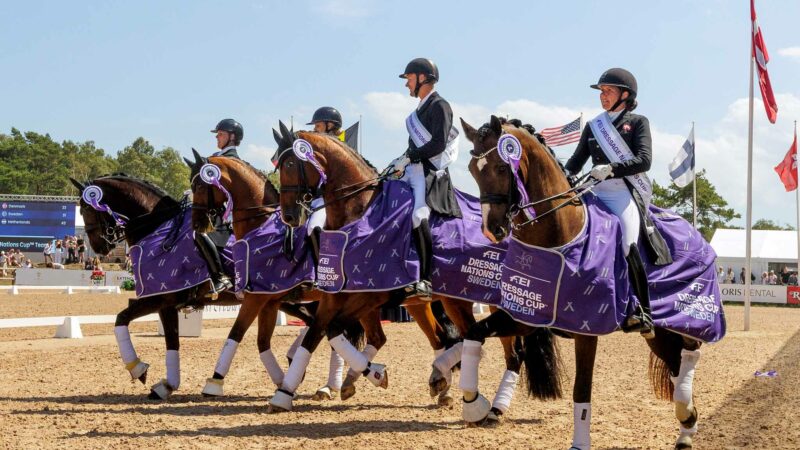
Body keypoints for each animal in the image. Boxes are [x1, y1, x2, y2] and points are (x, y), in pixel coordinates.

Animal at [69, 174, 318, 400]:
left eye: (86, 208)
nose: (99, 247)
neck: (158, 230)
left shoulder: (159, 298)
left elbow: (122, 318)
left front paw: (139, 369)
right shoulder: (166, 303)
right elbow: (171, 341)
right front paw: (166, 385)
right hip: (283, 299)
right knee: (311, 320)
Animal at [268, 121, 556, 416]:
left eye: (290, 163)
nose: (289, 216)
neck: (361, 212)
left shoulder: (371, 295)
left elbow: (334, 330)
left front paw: (371, 375)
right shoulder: (335, 296)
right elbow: (319, 333)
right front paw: (286, 392)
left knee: (509, 350)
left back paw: (490, 405)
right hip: (449, 300)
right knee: (455, 336)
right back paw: (444, 381)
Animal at [460, 117, 708, 450]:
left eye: (502, 167)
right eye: (473, 170)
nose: (492, 229)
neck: (559, 235)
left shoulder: (586, 328)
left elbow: (582, 389)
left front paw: (579, 443)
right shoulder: (525, 317)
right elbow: (473, 334)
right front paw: (474, 405)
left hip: (681, 319)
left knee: (689, 353)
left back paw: (686, 421)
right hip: (658, 331)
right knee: (676, 362)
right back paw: (685, 425)